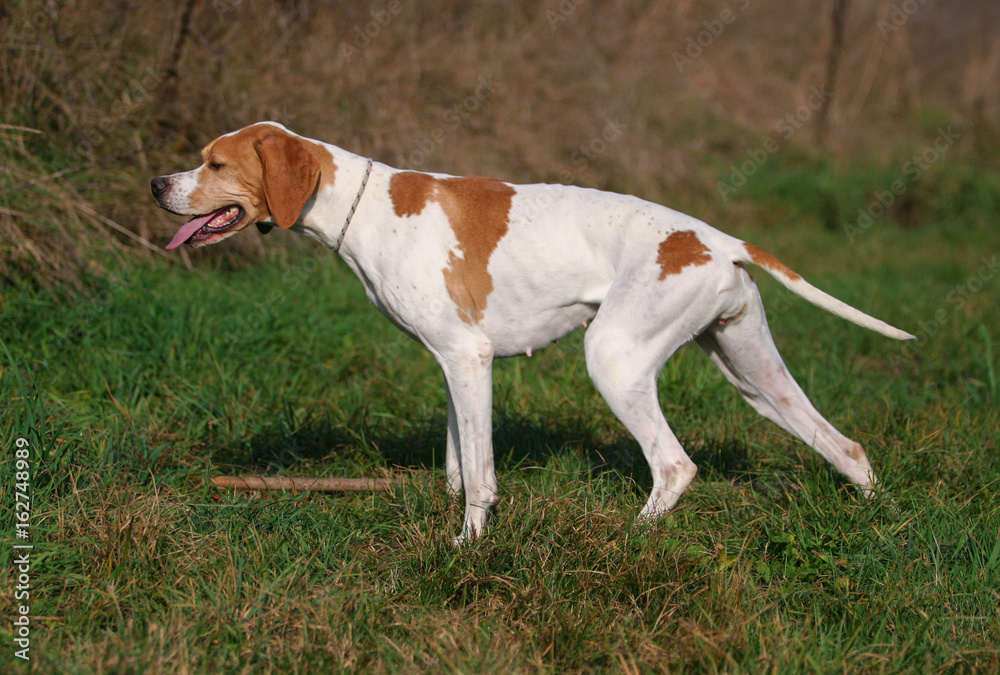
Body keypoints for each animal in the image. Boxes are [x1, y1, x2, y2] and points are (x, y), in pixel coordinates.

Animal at [150, 121, 916, 544]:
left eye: (215, 164)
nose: (158, 183)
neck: (364, 208)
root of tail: (717, 238)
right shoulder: (455, 366)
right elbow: (460, 466)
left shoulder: (469, 357)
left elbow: (481, 480)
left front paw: (467, 550)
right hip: (754, 375)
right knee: (847, 449)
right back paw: (879, 520)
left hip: (614, 360)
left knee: (675, 465)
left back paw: (629, 539)